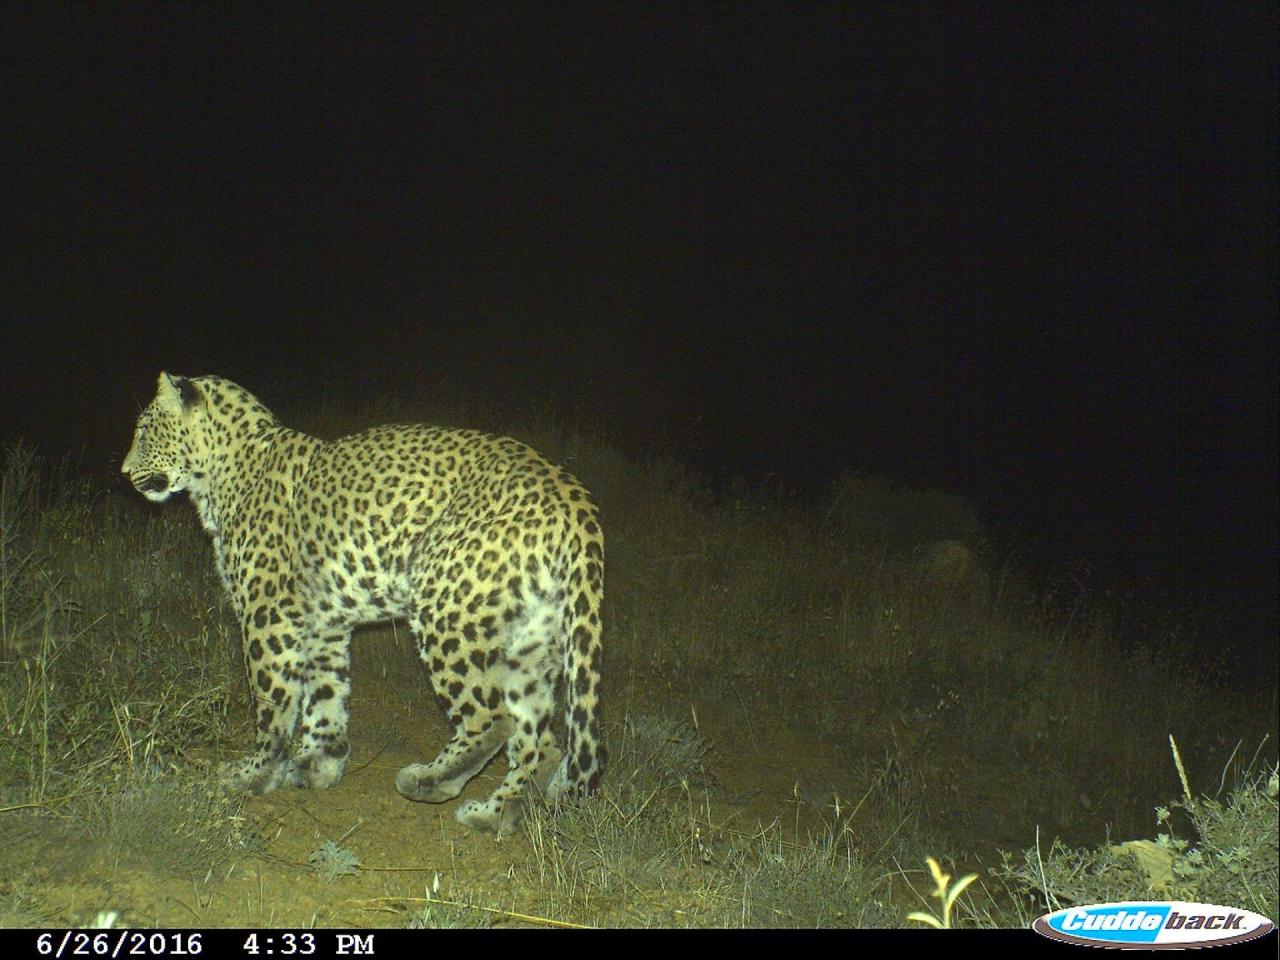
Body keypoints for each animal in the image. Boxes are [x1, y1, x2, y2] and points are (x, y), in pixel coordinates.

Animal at [122, 371, 601, 839]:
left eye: (144, 429)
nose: (124, 472)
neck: (219, 475)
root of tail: (573, 494)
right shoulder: (323, 624)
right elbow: (325, 695)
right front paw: (318, 764)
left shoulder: (268, 615)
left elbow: (273, 701)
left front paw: (254, 775)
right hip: (528, 639)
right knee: (543, 740)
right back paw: (496, 812)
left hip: (446, 610)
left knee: (494, 718)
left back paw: (430, 780)